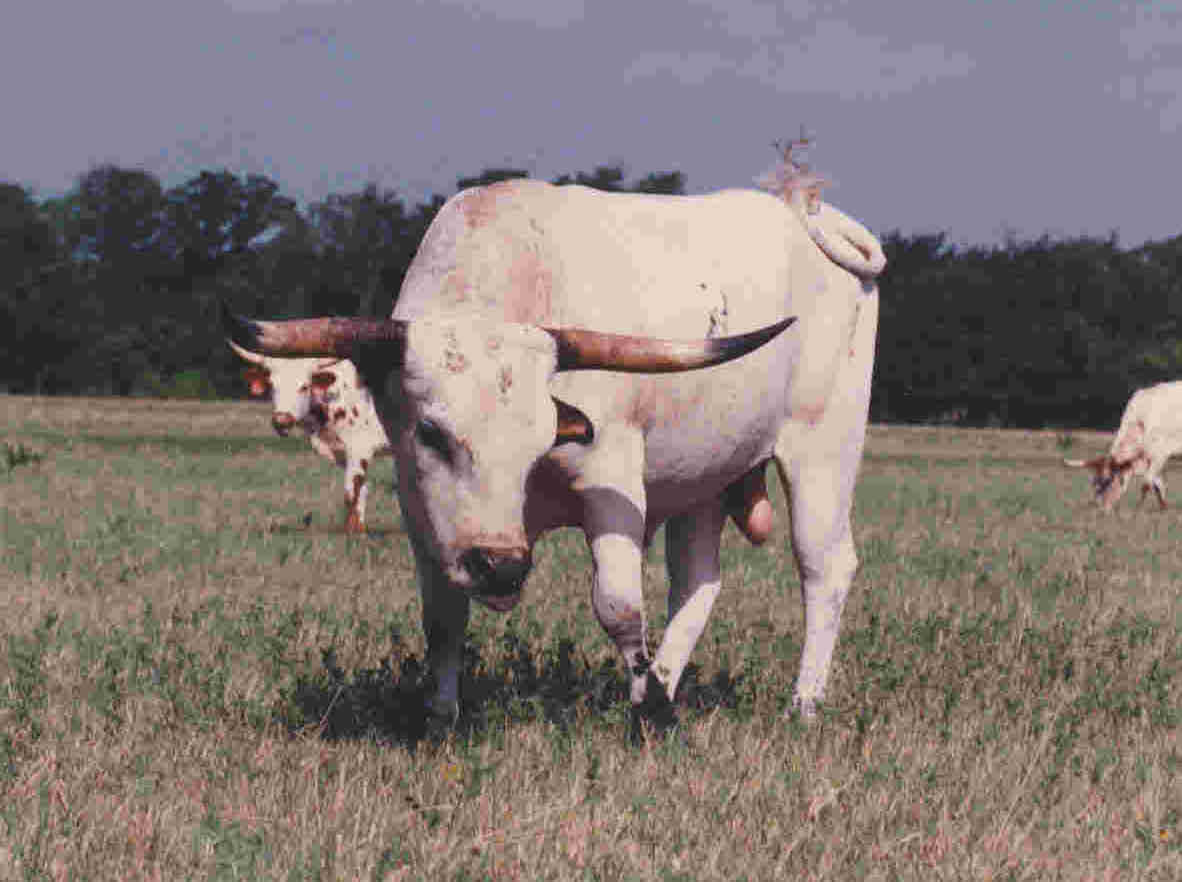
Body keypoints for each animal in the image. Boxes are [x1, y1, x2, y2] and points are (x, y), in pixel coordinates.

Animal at [227, 341, 392, 532]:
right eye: (272, 385)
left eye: (304, 386)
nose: (281, 421)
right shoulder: (343, 454)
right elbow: (361, 492)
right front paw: (358, 529)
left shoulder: (360, 449)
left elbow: (351, 493)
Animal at [1065, 380, 1182, 511]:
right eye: (1095, 482)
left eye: (1108, 481)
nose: (1102, 508)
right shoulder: (1146, 458)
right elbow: (1156, 482)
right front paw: (1163, 505)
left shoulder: (1160, 453)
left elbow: (1146, 483)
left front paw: (1138, 509)